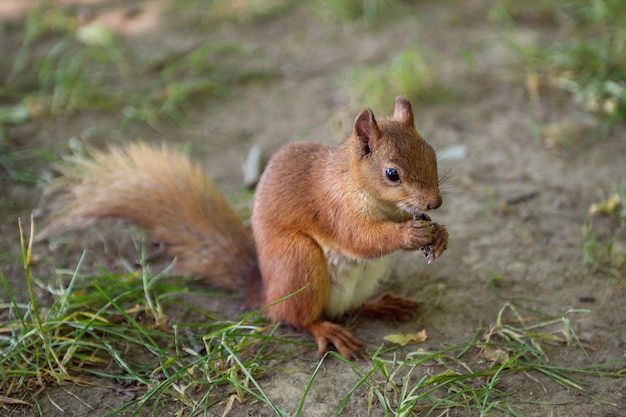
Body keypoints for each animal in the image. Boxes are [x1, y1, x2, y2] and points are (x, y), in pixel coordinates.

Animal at [39, 96, 446, 358]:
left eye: (433, 154)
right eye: (392, 173)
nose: (435, 203)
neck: (357, 184)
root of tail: (267, 292)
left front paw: (438, 234)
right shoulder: (334, 209)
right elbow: (360, 237)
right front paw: (409, 234)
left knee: (352, 307)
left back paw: (383, 303)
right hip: (299, 264)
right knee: (298, 318)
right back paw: (327, 331)